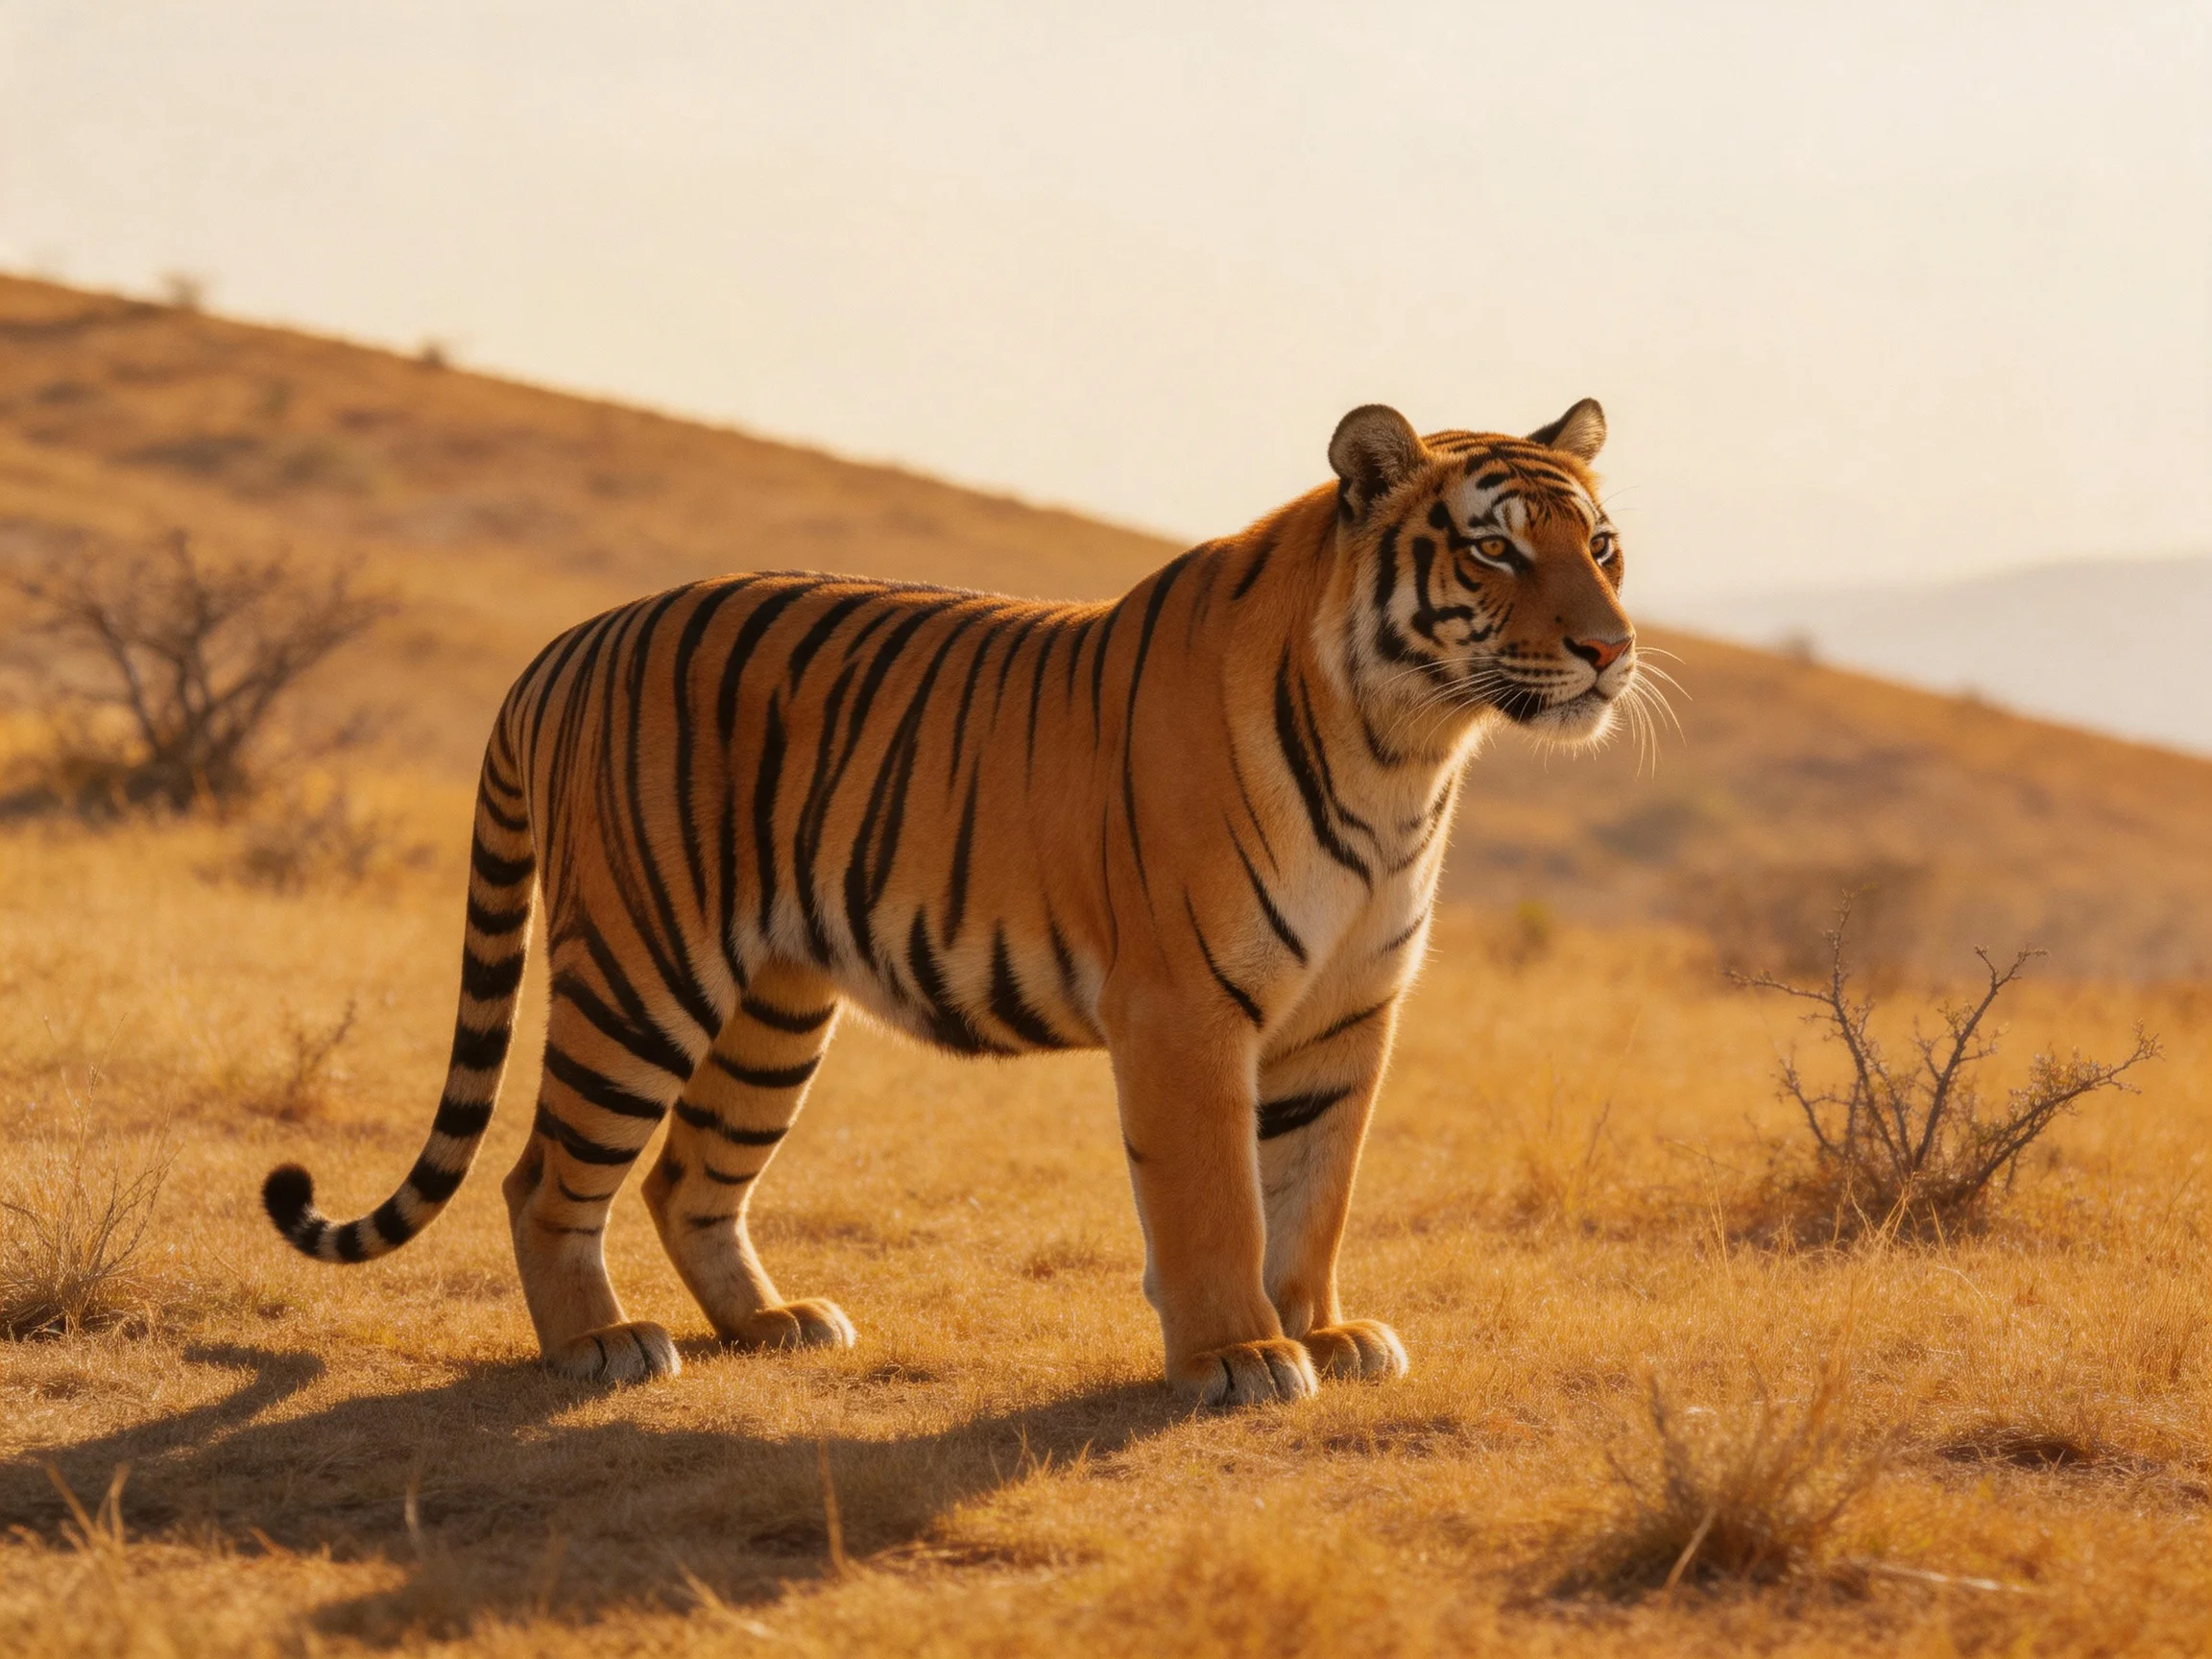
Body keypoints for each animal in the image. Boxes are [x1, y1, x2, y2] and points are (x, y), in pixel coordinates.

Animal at [263, 398, 1636, 1405]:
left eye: (1603, 546)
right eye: (1495, 547)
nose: (1612, 649)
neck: (1406, 750)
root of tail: (570, 640)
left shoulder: (1347, 1012)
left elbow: (1313, 1188)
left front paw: (1327, 1333)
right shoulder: (1186, 1008)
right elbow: (1215, 1197)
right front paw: (1240, 1354)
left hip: (773, 1008)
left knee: (685, 1179)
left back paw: (776, 1322)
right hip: (641, 975)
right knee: (545, 1176)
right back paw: (601, 1347)